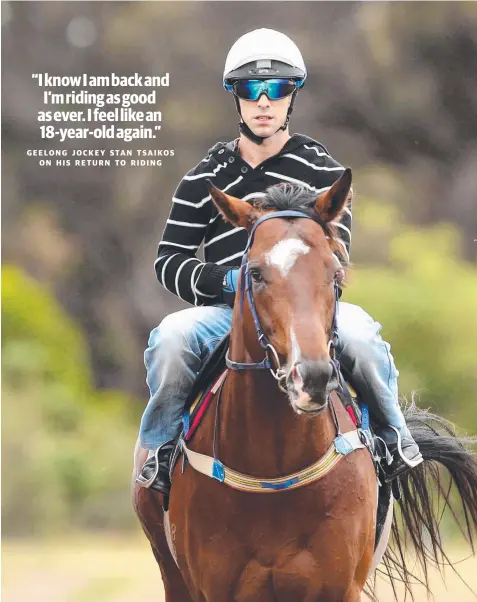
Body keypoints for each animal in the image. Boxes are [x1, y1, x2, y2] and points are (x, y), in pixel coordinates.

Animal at [132, 170, 476, 600]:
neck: (275, 470)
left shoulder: (339, 586)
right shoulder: (213, 588)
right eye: (255, 273)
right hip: (172, 575)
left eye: (335, 273)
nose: (311, 376)